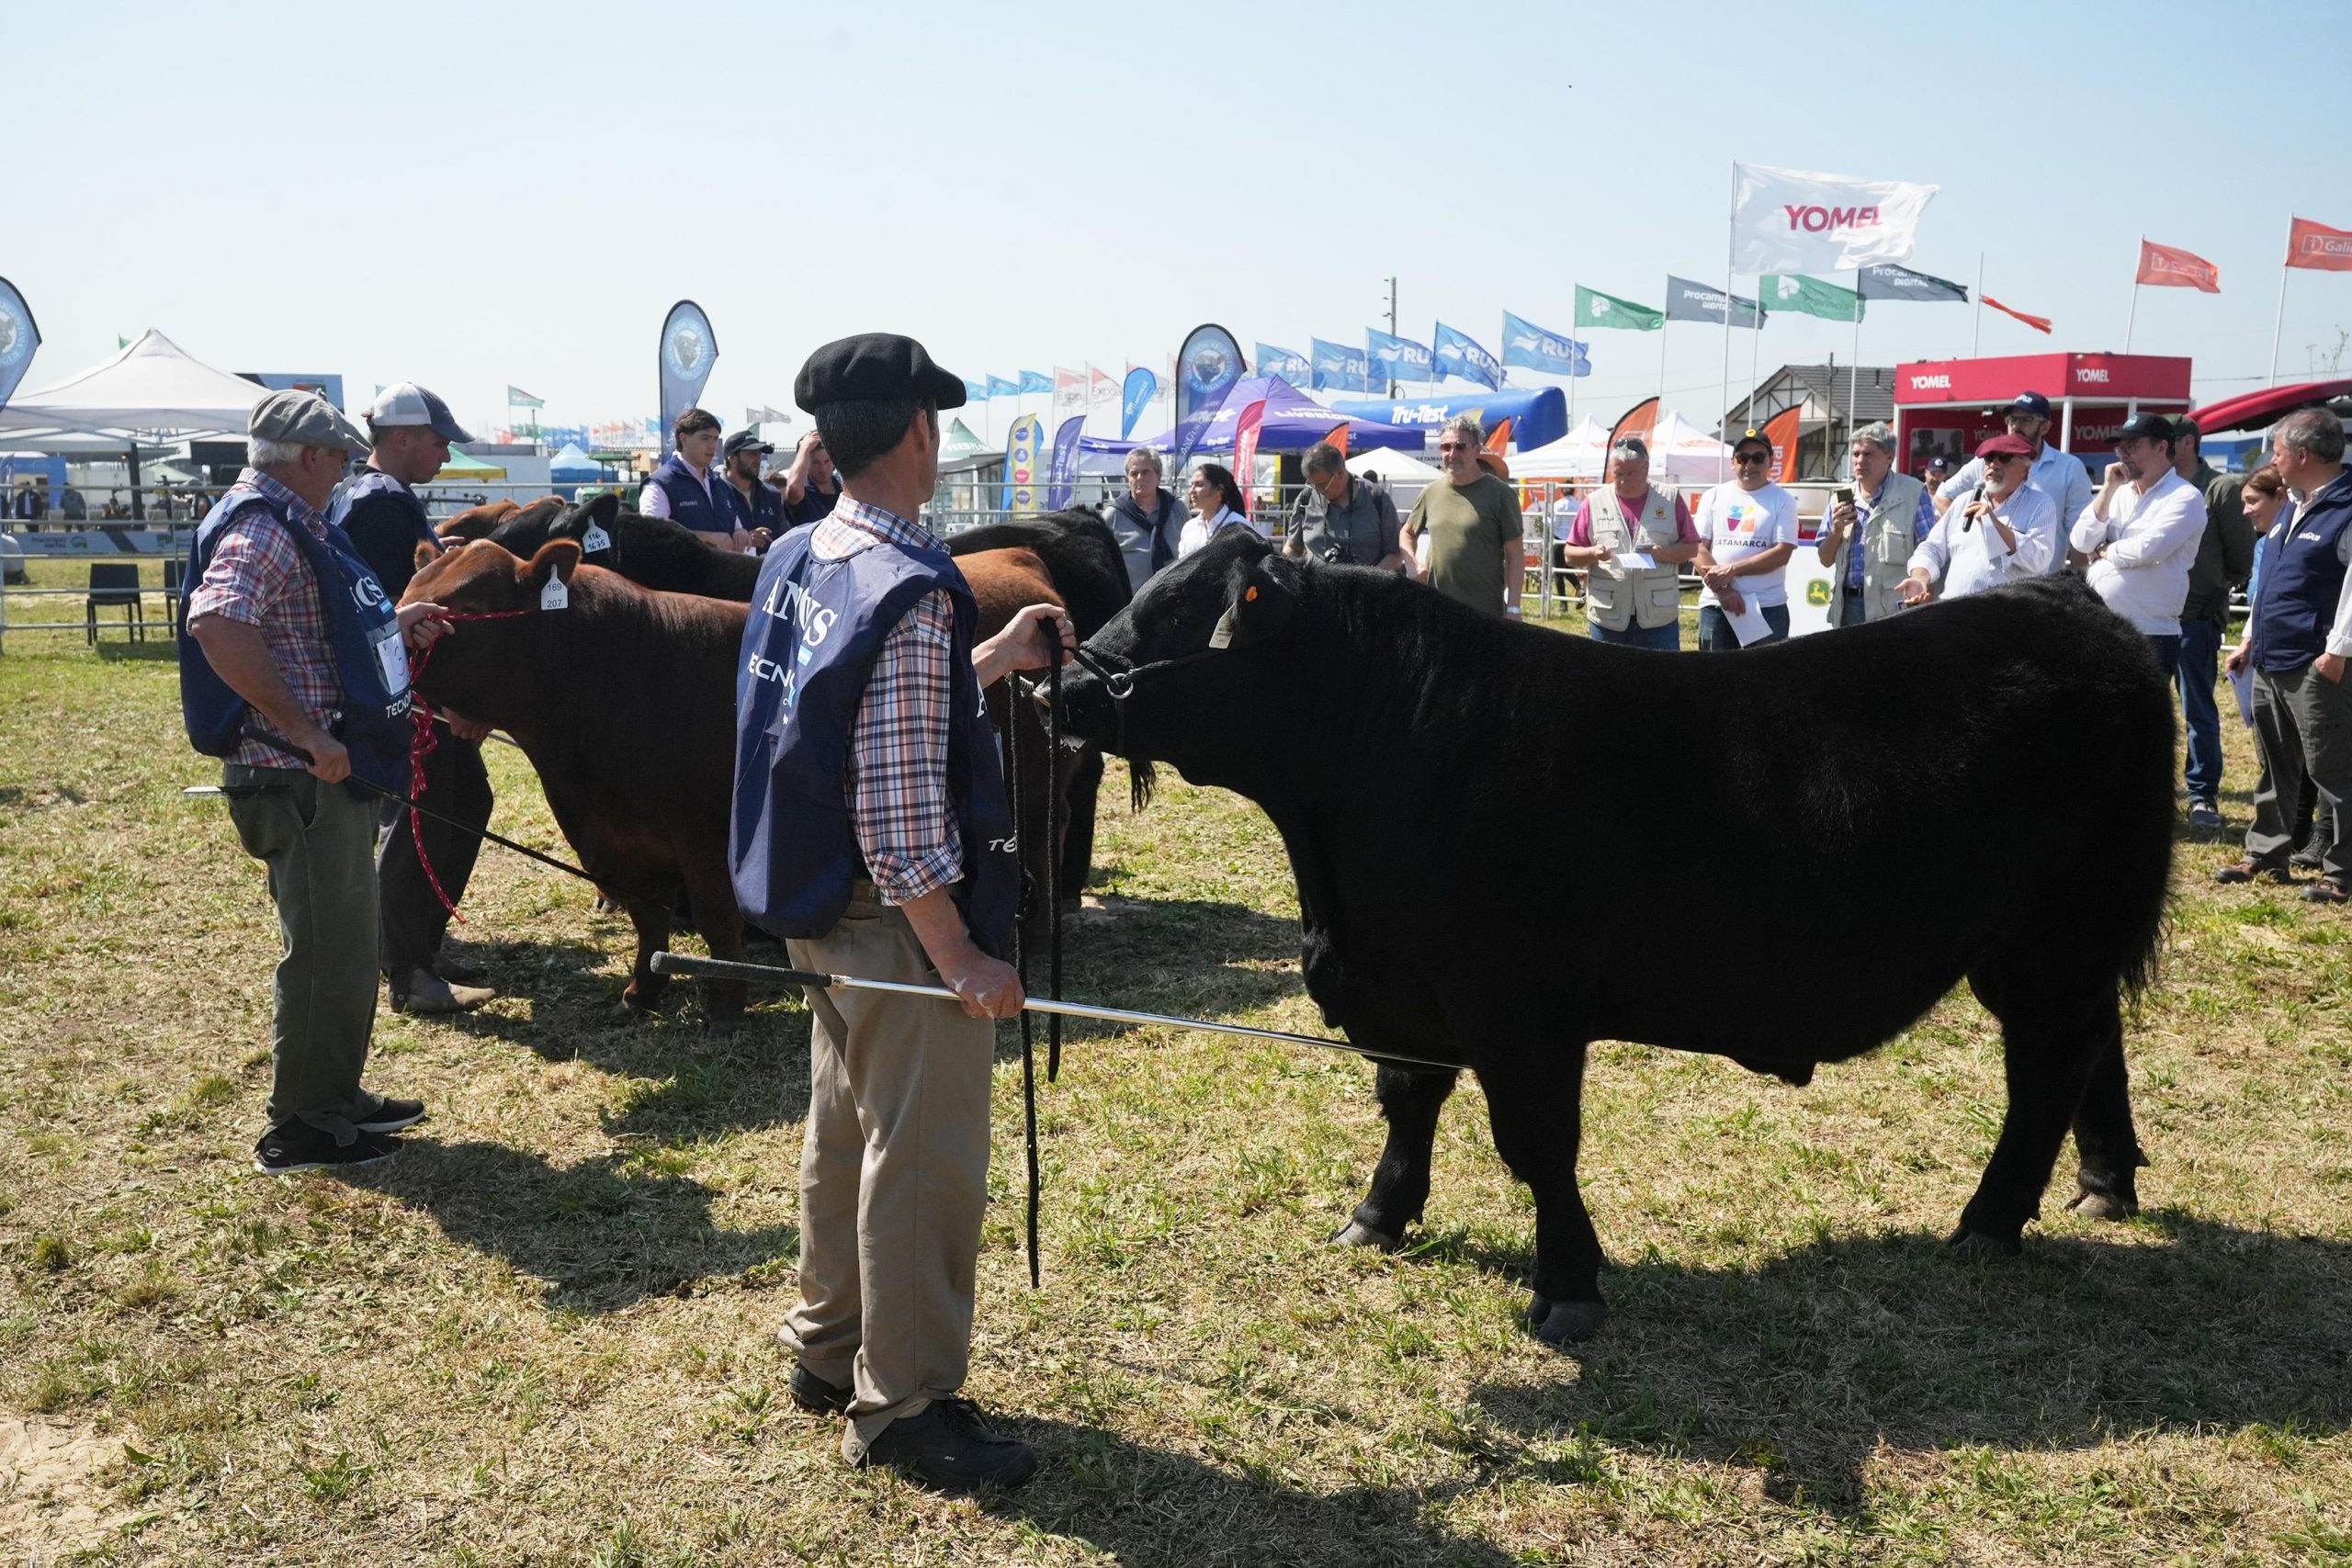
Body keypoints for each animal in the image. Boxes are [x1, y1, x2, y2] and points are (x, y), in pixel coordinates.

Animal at [1058, 533, 2173, 1344]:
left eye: (1171, 610)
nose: (1060, 681)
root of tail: (2063, 601)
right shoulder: (1404, 991)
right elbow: (1407, 1101)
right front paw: (1377, 1217)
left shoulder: (1520, 1009)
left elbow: (1536, 1143)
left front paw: (1567, 1287)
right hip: (2062, 944)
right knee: (2096, 1051)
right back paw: (2101, 1185)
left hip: (2056, 938)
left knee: (2049, 1066)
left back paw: (1988, 1225)